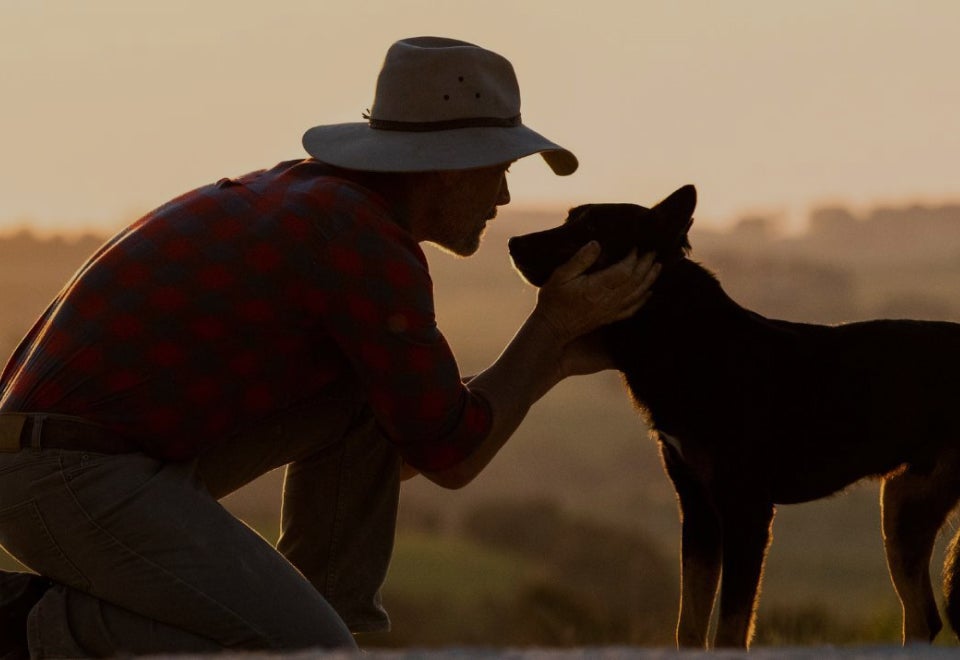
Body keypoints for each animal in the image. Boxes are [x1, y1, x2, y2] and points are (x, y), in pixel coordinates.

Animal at [506, 183, 960, 648]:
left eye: (589, 227)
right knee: (923, 618)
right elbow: (688, 627)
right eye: (568, 218)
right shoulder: (699, 512)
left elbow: (729, 628)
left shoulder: (746, 511)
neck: (684, 336)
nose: (512, 243)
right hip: (904, 506)